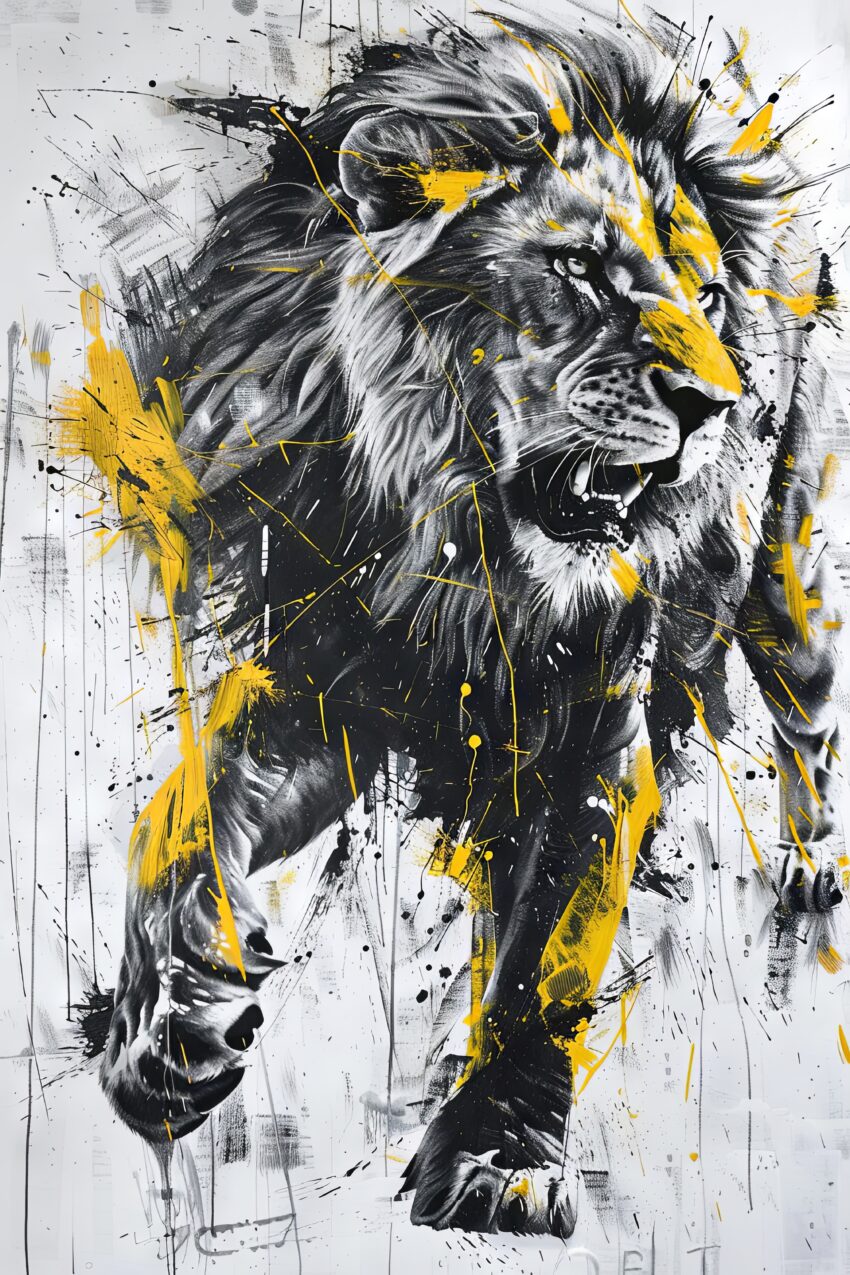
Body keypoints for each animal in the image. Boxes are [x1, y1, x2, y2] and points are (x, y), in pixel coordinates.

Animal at [95, 5, 845, 1236]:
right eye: (580, 267)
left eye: (704, 297)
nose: (714, 402)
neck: (470, 561)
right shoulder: (319, 685)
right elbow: (181, 822)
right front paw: (167, 1034)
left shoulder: (597, 735)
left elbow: (547, 962)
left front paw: (501, 1157)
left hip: (791, 594)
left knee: (811, 730)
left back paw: (811, 864)